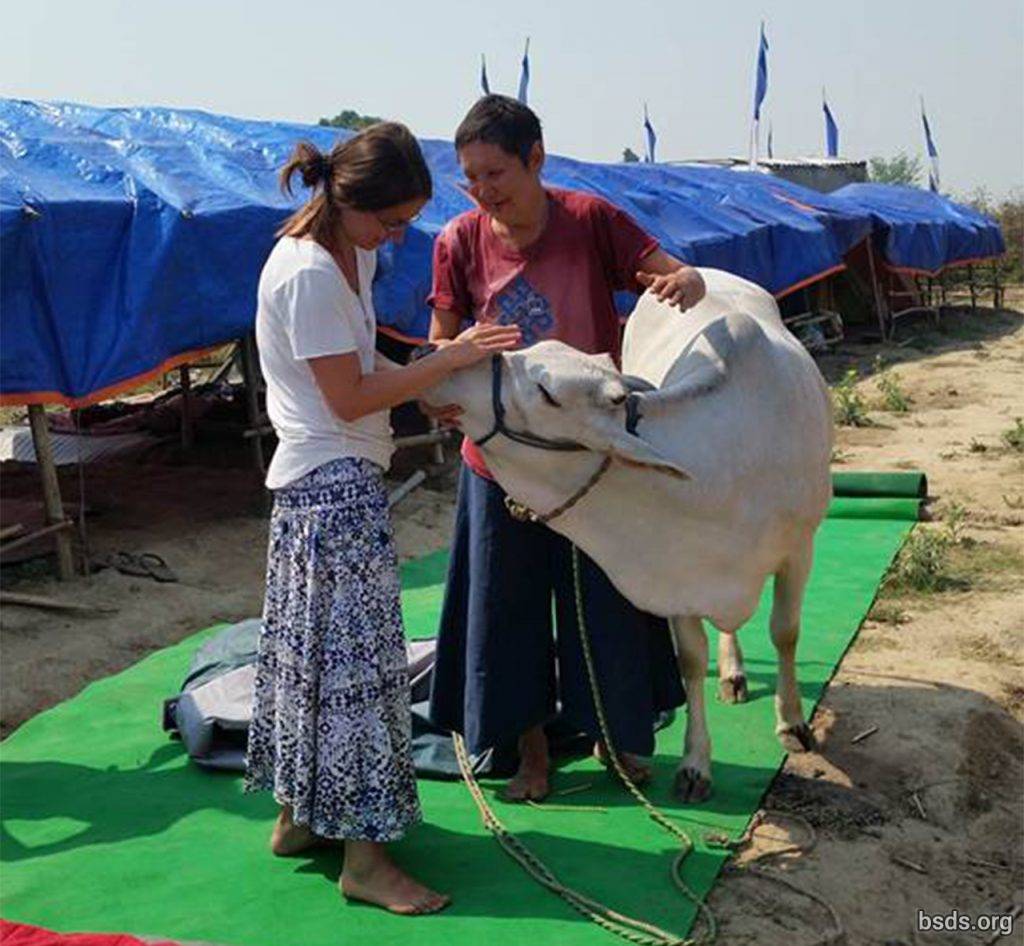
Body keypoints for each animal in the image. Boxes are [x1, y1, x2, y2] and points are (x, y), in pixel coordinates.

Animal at [423, 270, 831, 802]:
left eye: (547, 393)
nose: (437, 359)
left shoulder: (799, 549)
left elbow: (785, 632)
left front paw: (793, 723)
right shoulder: (677, 575)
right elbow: (691, 660)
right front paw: (695, 764)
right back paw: (733, 670)